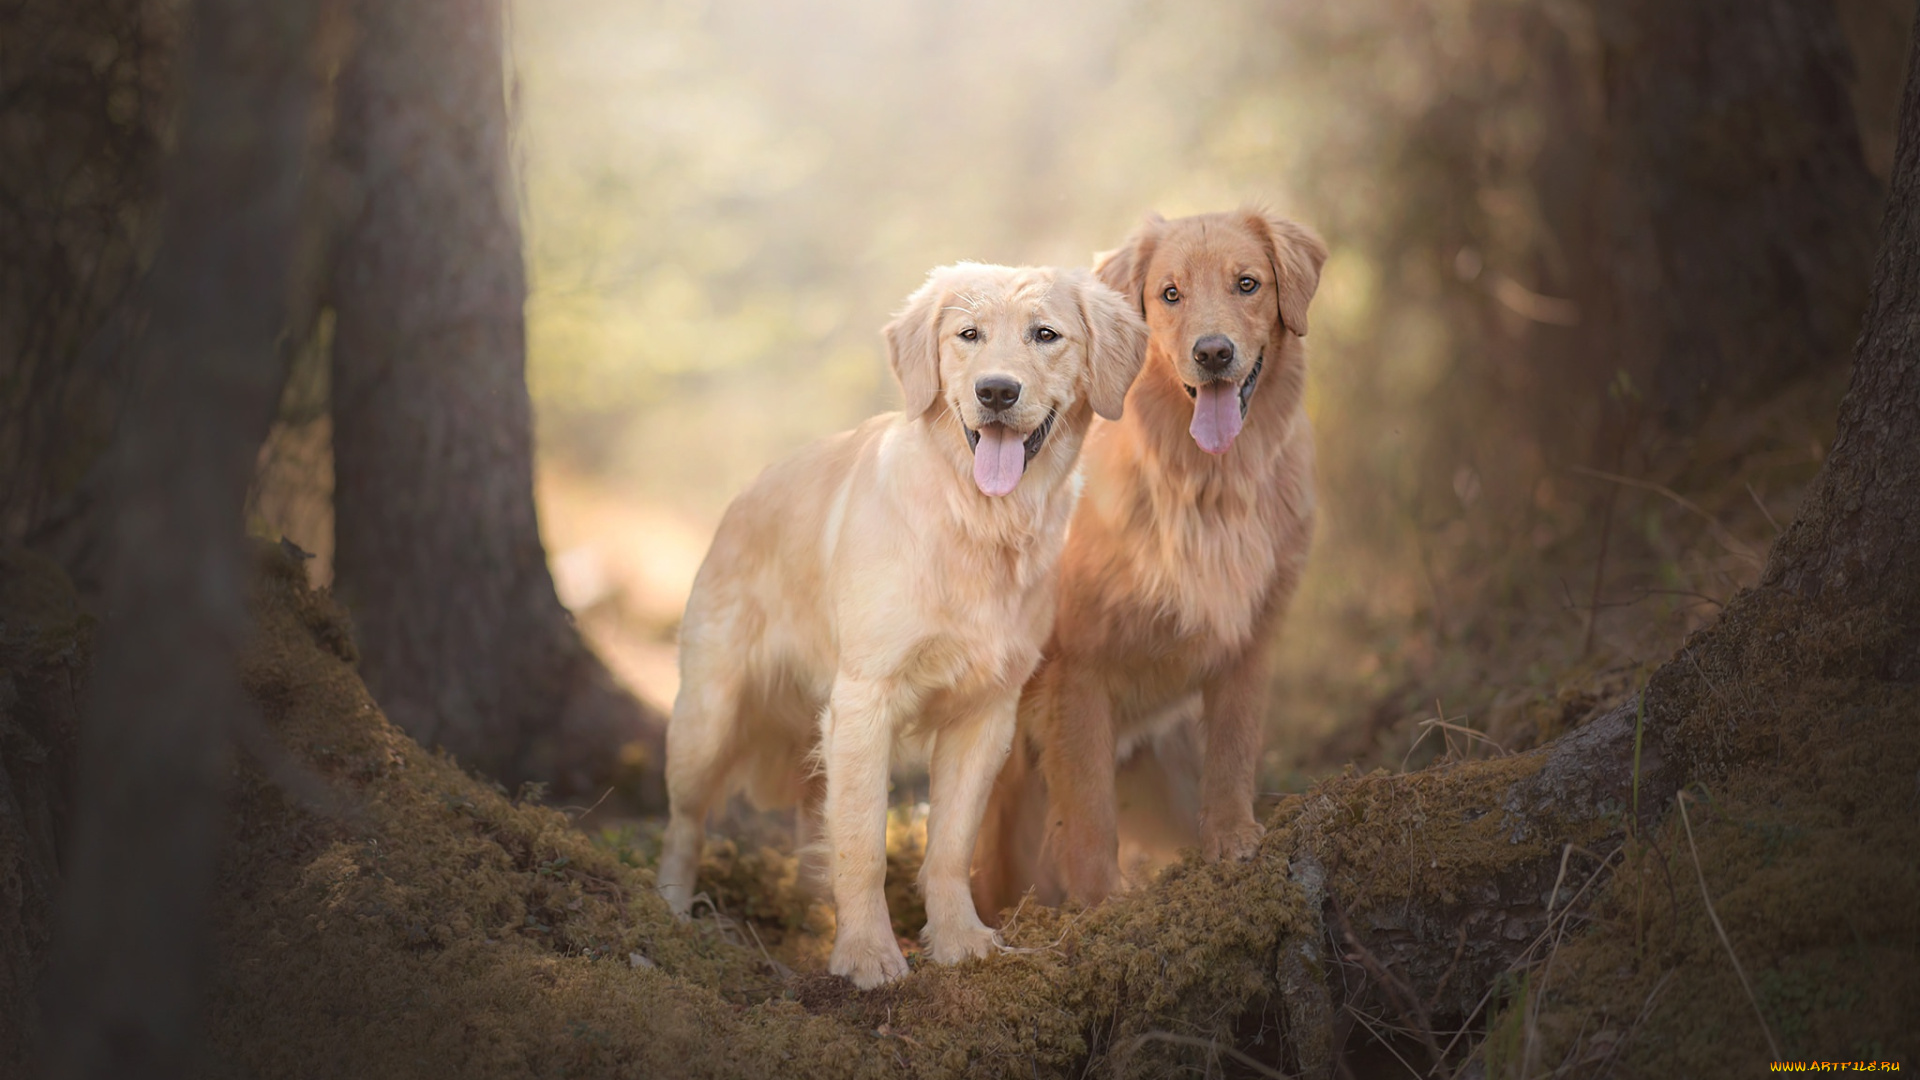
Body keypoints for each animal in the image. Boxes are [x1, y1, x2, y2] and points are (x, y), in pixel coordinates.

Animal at [652, 261, 1144, 983]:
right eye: (968, 335)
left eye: (1046, 335)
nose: (997, 391)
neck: (978, 521)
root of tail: (744, 492)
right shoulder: (866, 697)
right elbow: (863, 842)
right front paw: (866, 954)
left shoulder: (986, 711)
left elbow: (949, 845)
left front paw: (959, 938)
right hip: (707, 717)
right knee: (686, 820)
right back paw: (672, 905)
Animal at [975, 203, 1320, 907]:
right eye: (1170, 294)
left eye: (1248, 284)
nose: (1213, 353)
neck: (1209, 484)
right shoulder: (1077, 669)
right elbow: (1088, 805)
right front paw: (1101, 901)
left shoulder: (1250, 636)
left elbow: (1234, 748)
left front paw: (1232, 838)